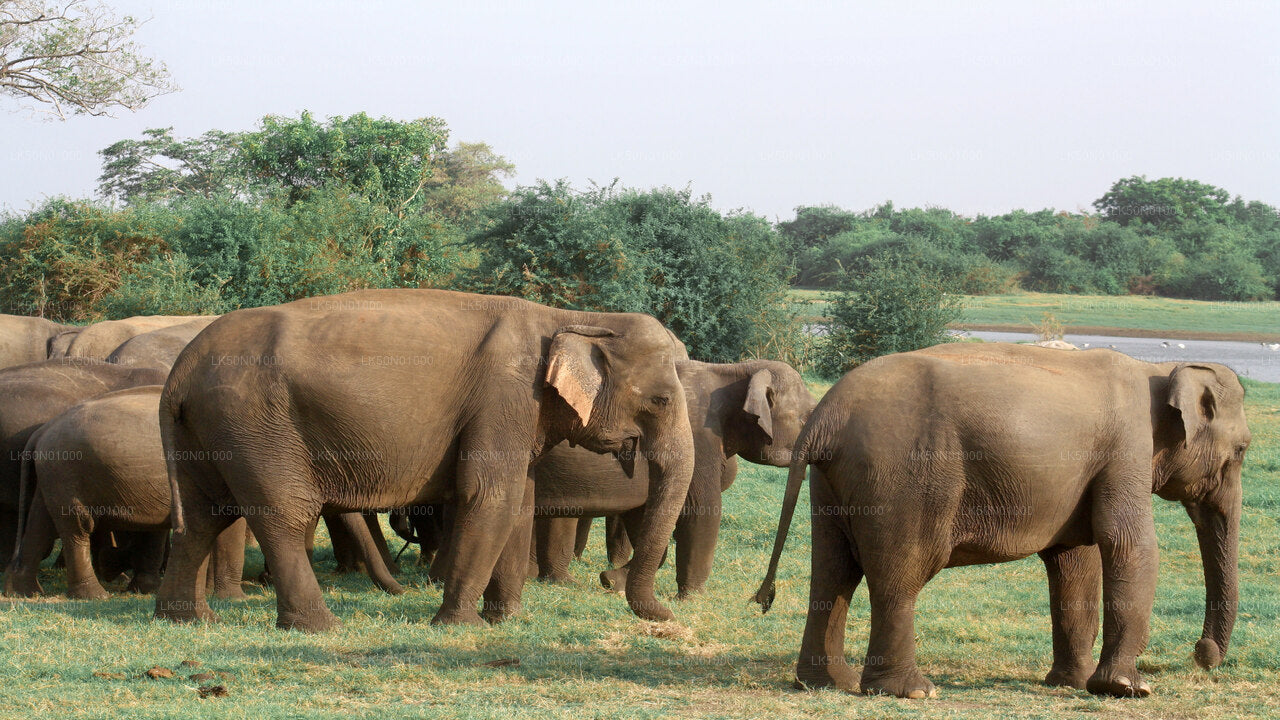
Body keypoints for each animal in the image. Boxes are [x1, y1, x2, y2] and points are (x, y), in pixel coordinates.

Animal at [4, 386, 247, 599]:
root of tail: (42, 431)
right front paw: (232, 598)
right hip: (66, 471)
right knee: (77, 525)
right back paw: (95, 595)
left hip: (53, 474)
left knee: (41, 521)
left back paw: (24, 592)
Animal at [153, 289, 695, 631]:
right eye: (662, 400)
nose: (668, 616)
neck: (567, 317)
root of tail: (179, 372)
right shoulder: (504, 396)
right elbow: (490, 496)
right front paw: (459, 625)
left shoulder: (521, 411)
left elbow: (521, 499)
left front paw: (506, 620)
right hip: (256, 424)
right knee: (281, 514)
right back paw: (320, 628)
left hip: (211, 430)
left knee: (203, 516)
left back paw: (188, 619)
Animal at [533, 358, 815, 598]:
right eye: (806, 418)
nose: (760, 598)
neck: (733, 371)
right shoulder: (698, 440)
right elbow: (702, 511)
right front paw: (692, 599)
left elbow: (645, 517)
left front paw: (612, 581)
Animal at [754, 343, 1250, 699]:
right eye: (1243, 449)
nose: (1201, 655)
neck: (1160, 367)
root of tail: (825, 416)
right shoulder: (1126, 447)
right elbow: (1129, 544)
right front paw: (1127, 688)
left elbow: (1074, 560)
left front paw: (1072, 683)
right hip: (902, 478)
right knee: (899, 575)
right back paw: (912, 692)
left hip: (832, 482)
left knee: (833, 571)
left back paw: (824, 684)